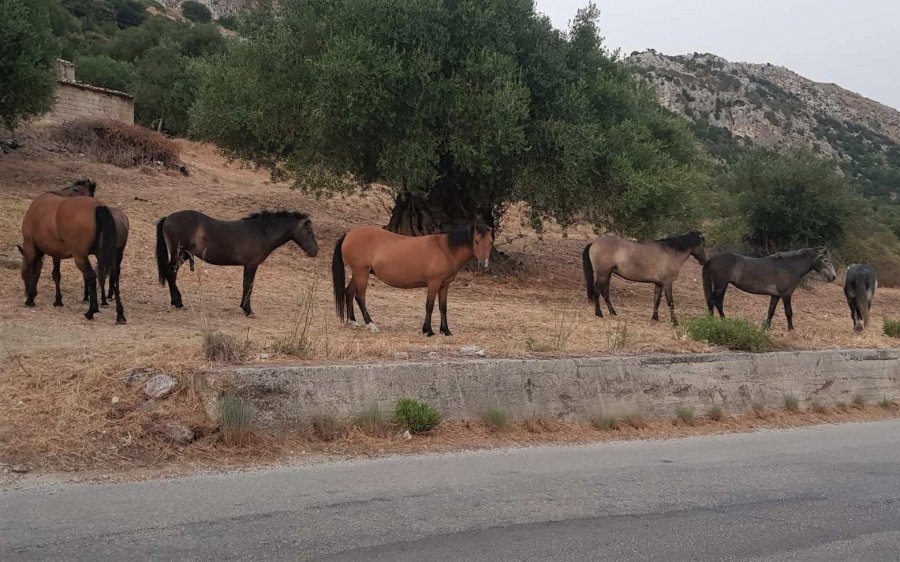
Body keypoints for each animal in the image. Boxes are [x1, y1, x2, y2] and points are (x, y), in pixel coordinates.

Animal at [18, 180, 121, 320]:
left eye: (23, 275)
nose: (25, 293)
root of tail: (98, 207)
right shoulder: (56, 253)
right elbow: (56, 275)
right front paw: (58, 301)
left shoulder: (31, 247)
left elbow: (35, 271)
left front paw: (30, 300)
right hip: (103, 256)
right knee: (112, 278)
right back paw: (120, 315)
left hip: (80, 257)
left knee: (91, 276)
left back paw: (91, 311)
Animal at [156, 209, 318, 316]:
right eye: (309, 232)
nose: (315, 251)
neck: (261, 232)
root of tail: (168, 218)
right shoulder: (252, 265)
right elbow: (249, 285)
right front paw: (248, 310)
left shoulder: (248, 266)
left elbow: (246, 284)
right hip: (179, 255)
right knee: (171, 273)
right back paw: (178, 302)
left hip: (182, 256)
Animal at [334, 222, 496, 336]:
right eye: (476, 241)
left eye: (491, 242)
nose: (484, 265)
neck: (445, 249)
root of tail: (348, 234)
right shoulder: (434, 283)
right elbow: (429, 306)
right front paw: (428, 330)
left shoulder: (444, 285)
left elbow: (443, 307)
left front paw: (446, 330)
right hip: (362, 273)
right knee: (360, 297)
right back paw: (371, 325)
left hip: (358, 273)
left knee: (349, 293)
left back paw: (353, 322)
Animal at [584, 229, 712, 324]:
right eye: (703, 244)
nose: (704, 260)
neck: (671, 253)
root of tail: (594, 243)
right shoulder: (667, 283)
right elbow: (670, 302)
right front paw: (674, 322)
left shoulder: (659, 284)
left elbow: (656, 300)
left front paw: (655, 318)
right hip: (603, 274)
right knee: (596, 291)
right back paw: (599, 314)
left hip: (607, 274)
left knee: (605, 293)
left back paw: (613, 313)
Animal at [704, 247, 836, 330]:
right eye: (825, 260)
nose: (833, 277)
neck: (790, 266)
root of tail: (710, 260)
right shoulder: (786, 294)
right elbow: (789, 312)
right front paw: (791, 330)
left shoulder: (775, 295)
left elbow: (771, 311)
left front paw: (766, 327)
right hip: (720, 286)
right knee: (712, 301)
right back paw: (711, 320)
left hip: (722, 286)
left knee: (718, 303)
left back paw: (724, 320)